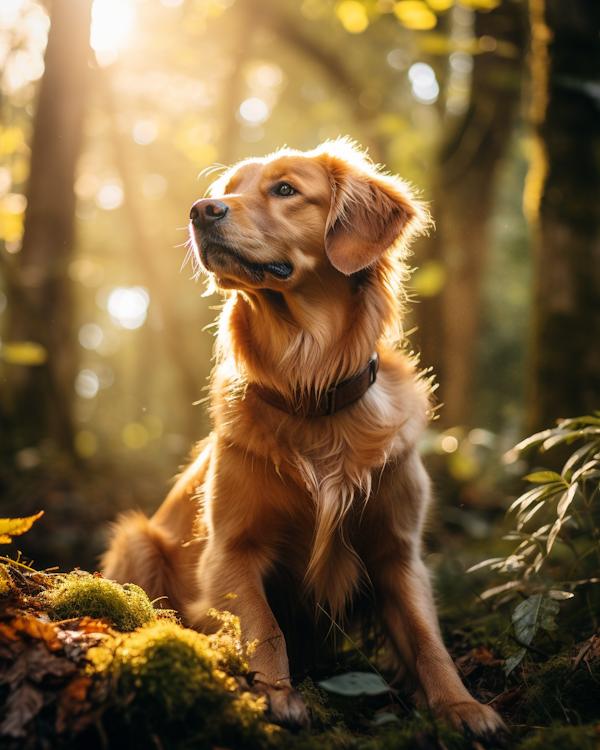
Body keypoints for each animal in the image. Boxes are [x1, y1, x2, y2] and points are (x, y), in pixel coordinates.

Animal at [103, 137, 506, 740]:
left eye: (286, 189)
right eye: (227, 190)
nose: (200, 211)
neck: (310, 387)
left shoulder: (398, 551)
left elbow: (426, 636)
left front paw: (460, 705)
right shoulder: (231, 547)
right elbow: (262, 626)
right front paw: (272, 696)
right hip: (137, 539)